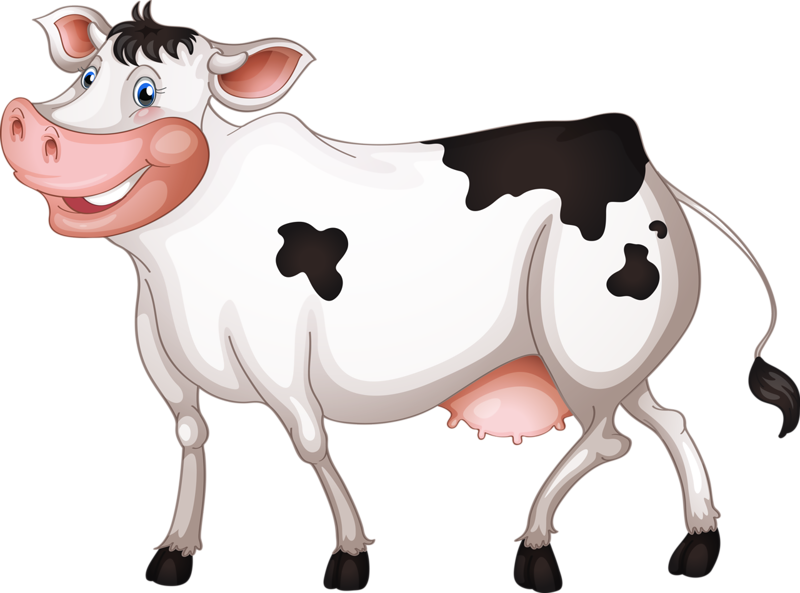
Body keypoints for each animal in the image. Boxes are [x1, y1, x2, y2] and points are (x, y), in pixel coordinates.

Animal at [2, 2, 797, 591]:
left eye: (147, 93)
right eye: (88, 73)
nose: (32, 126)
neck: (175, 264)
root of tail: (637, 153)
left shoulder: (276, 348)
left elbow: (309, 440)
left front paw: (350, 554)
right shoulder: (159, 352)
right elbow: (191, 435)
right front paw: (174, 550)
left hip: (587, 341)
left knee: (611, 438)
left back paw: (535, 546)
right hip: (619, 351)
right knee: (668, 417)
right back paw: (696, 540)